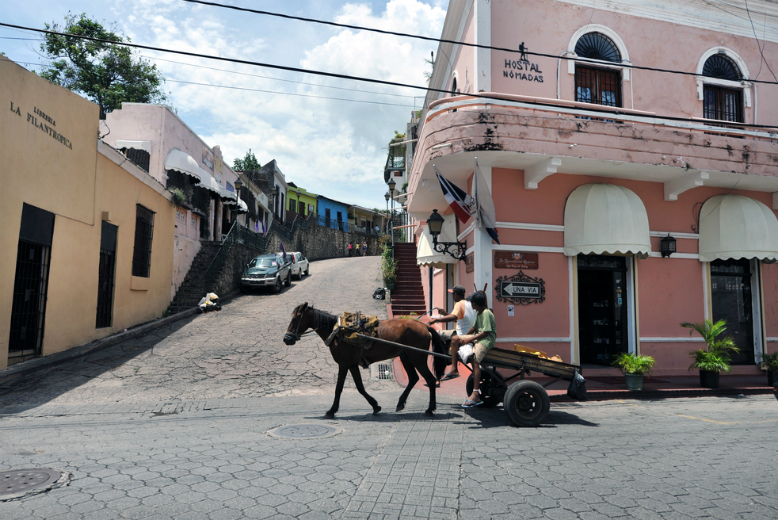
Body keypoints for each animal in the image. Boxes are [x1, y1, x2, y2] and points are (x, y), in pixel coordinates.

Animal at [282, 302, 446, 416]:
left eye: (296, 319)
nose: (286, 339)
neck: (337, 333)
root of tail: (425, 327)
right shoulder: (352, 365)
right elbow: (360, 387)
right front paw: (375, 406)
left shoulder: (344, 364)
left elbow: (338, 388)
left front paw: (332, 410)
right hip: (405, 356)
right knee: (413, 379)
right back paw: (401, 403)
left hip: (417, 358)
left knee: (430, 380)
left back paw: (430, 409)